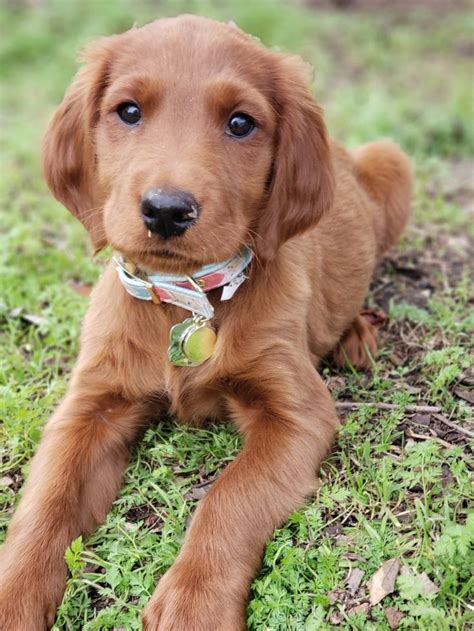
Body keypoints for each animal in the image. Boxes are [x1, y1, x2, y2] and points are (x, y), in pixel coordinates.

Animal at [0, 16, 412, 631]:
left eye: (241, 123)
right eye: (128, 111)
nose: (167, 210)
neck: (187, 298)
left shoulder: (297, 413)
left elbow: (230, 495)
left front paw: (193, 603)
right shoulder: (90, 404)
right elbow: (47, 498)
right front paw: (12, 592)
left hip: (392, 162)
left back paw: (356, 333)